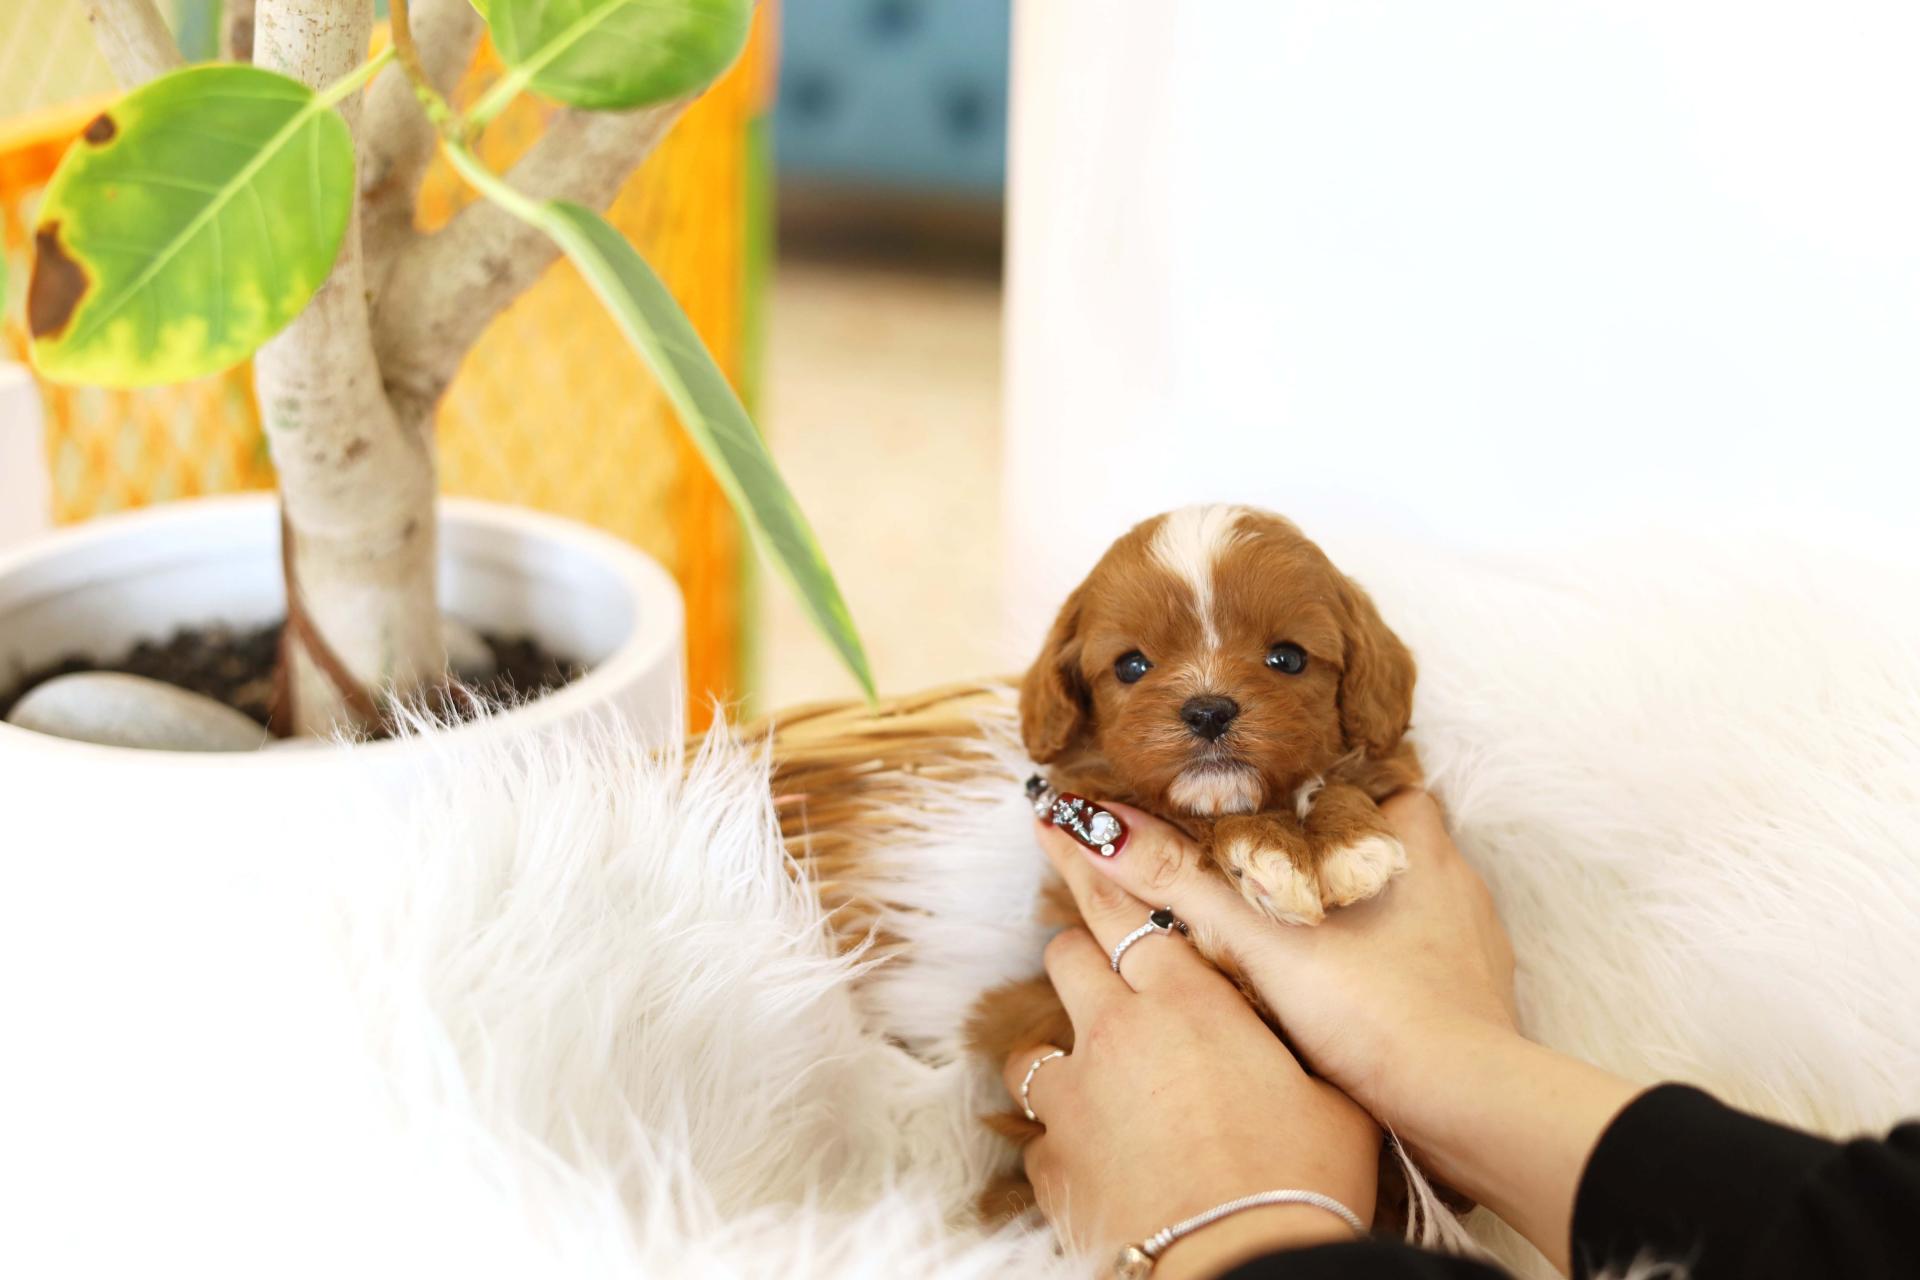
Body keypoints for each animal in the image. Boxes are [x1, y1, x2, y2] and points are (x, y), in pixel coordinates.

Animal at [968, 504, 1423, 1216]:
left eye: (1287, 658)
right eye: (1131, 666)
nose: (1209, 709)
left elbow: (1340, 781)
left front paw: (1354, 846)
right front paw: (1268, 852)